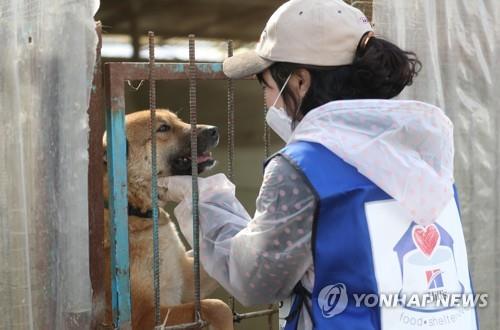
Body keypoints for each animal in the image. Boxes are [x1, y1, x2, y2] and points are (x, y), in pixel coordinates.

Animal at [103, 111, 234, 330]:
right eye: (163, 128)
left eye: (178, 120)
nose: (214, 130)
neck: (137, 212)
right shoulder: (143, 318)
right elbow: (218, 306)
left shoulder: (188, 282)